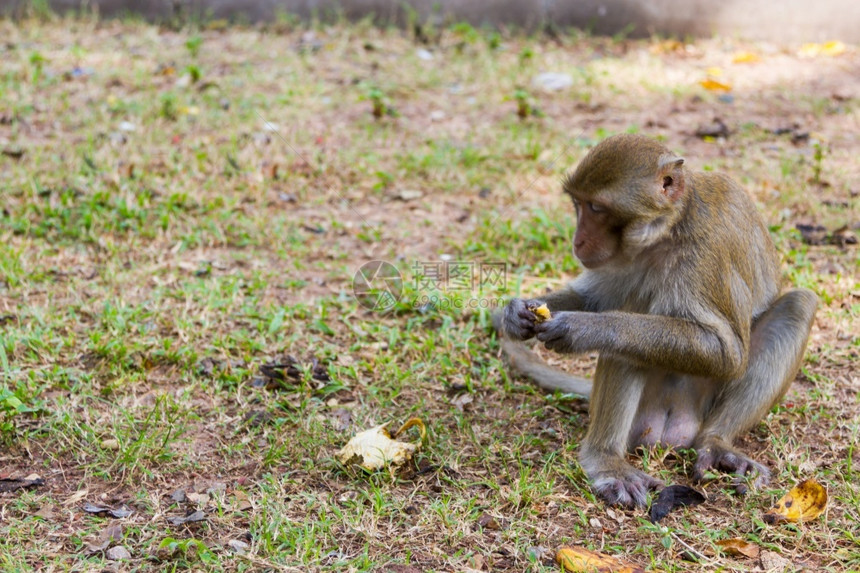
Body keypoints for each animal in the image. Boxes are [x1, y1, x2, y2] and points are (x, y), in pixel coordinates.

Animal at [494, 133, 816, 504]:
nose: (578, 240)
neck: (668, 230)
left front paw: (581, 328)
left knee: (797, 305)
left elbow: (727, 352)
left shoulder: (704, 252)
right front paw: (514, 314)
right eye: (579, 203)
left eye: (597, 208)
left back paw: (708, 443)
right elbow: (593, 298)